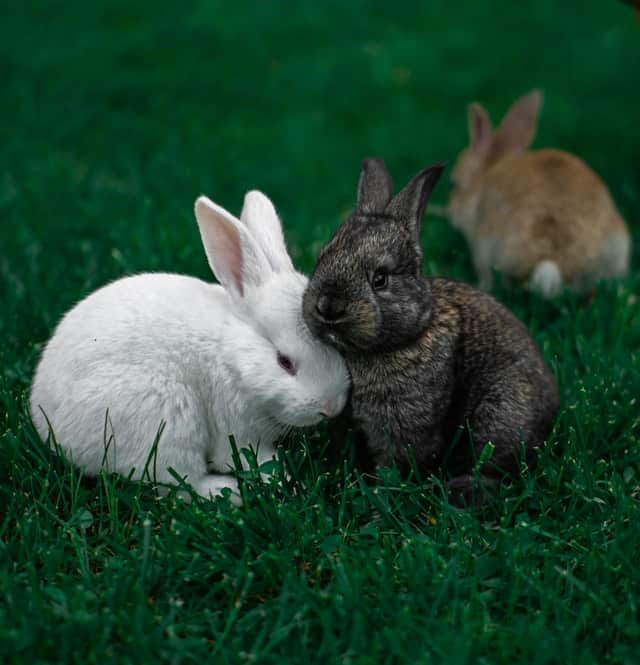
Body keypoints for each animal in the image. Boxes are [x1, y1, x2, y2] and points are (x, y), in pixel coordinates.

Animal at [30, 191, 350, 505]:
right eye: (284, 361)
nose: (332, 407)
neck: (233, 355)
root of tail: (49, 427)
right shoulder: (235, 426)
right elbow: (247, 457)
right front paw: (285, 480)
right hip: (166, 422)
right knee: (178, 484)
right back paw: (228, 491)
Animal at [302, 158, 560, 505]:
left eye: (380, 279)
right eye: (322, 258)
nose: (328, 307)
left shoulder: (402, 424)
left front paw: (382, 491)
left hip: (500, 413)